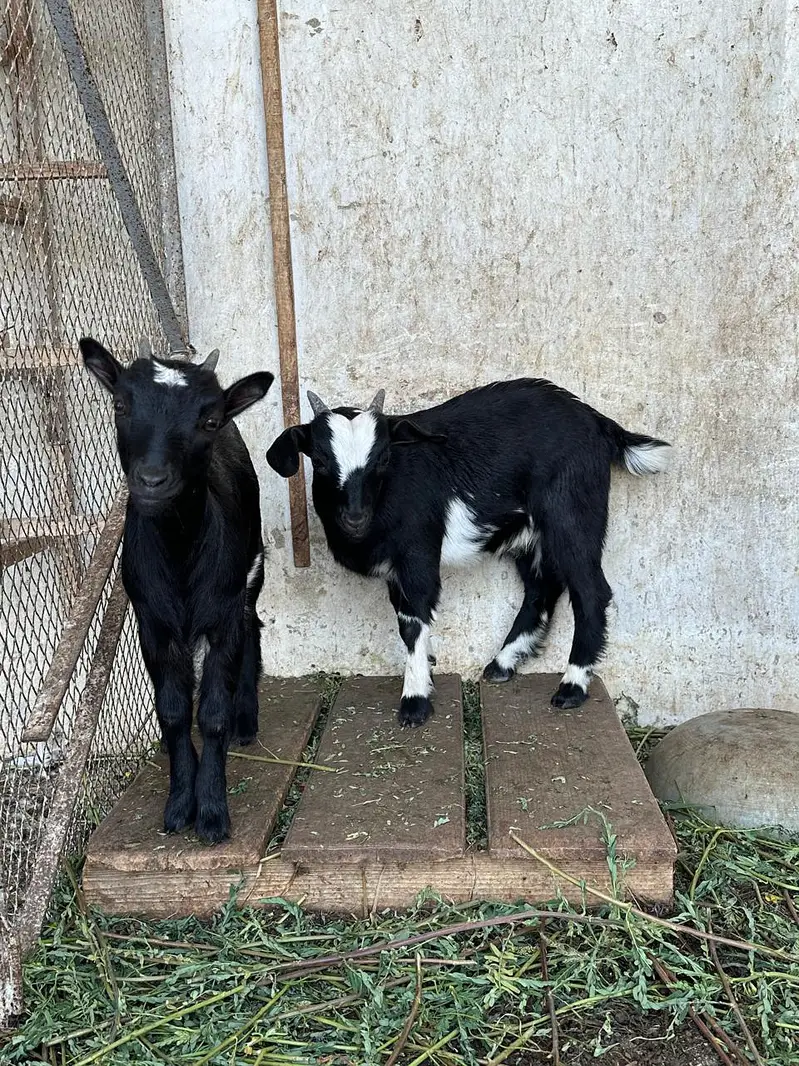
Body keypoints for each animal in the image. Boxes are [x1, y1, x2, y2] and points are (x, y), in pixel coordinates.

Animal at [81, 336, 274, 843]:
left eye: (208, 421)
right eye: (121, 404)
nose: (151, 480)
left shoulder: (222, 612)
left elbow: (212, 712)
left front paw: (211, 814)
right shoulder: (152, 623)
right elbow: (171, 710)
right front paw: (178, 804)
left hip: (250, 573)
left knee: (253, 625)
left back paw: (246, 719)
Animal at [267, 379, 670, 727]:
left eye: (383, 458)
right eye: (319, 460)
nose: (354, 518)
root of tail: (599, 422)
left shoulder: (417, 557)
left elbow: (412, 622)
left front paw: (415, 701)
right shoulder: (398, 570)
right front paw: (427, 672)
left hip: (572, 514)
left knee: (590, 591)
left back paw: (571, 687)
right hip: (529, 534)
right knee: (542, 588)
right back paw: (504, 663)